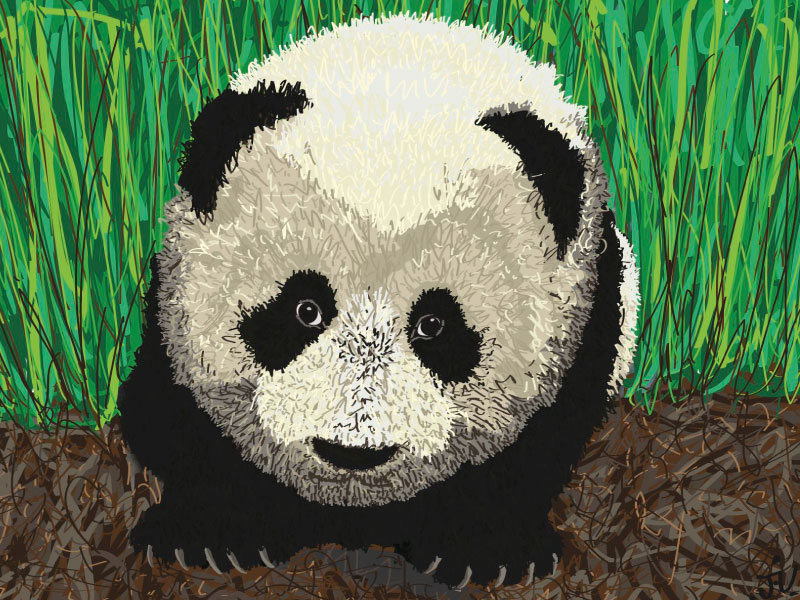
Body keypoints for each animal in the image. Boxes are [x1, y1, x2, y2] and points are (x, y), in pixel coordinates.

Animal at [118, 12, 639, 590]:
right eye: (304, 310)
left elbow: (538, 442)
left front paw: (486, 547)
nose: (352, 447)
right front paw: (214, 532)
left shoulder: (587, 309)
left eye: (435, 324)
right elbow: (177, 419)